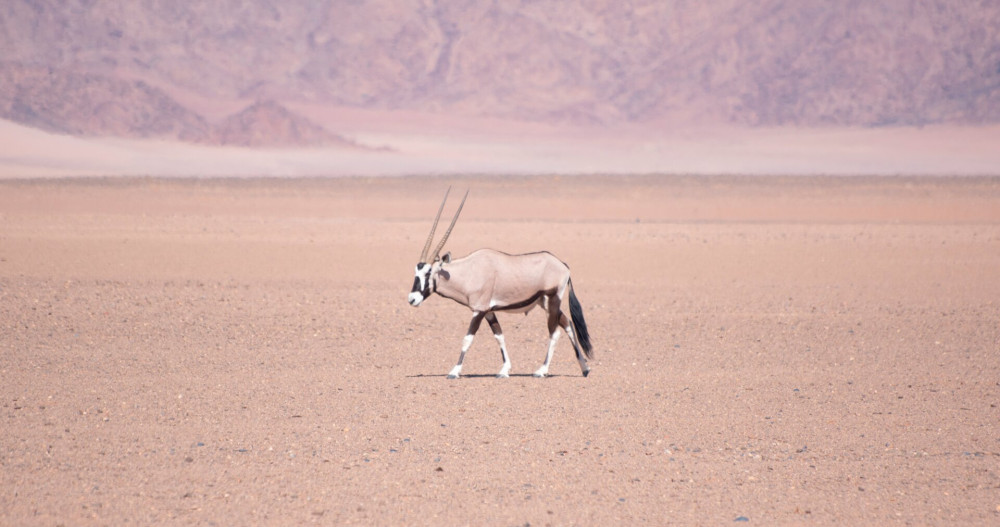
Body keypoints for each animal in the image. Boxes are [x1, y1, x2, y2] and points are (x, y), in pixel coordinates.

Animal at [408, 190, 592, 380]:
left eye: (428, 272)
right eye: (416, 271)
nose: (412, 299)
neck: (469, 271)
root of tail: (563, 265)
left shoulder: (479, 310)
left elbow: (467, 339)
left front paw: (454, 371)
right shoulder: (489, 311)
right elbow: (499, 336)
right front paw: (504, 370)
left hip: (553, 299)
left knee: (554, 332)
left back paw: (542, 370)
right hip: (545, 303)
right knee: (567, 323)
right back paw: (585, 369)